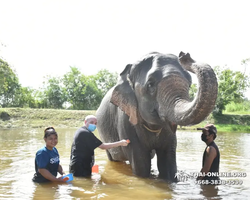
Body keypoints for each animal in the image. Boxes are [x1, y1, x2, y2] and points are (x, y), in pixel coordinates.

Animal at [96, 51, 218, 181]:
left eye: (190, 84)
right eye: (150, 85)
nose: (184, 55)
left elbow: (168, 163)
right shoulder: (125, 120)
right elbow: (141, 166)